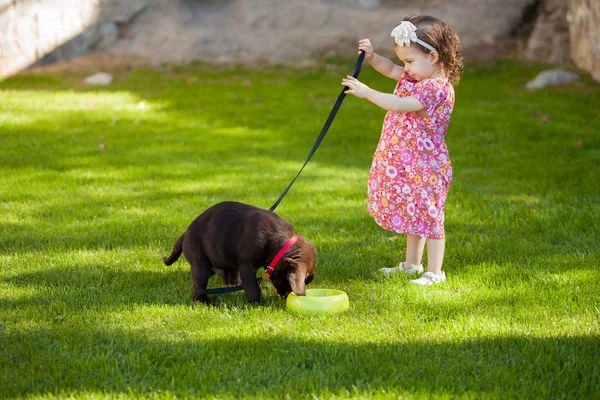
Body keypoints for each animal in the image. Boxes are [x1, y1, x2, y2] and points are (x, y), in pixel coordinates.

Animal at [162, 202, 316, 304]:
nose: (286, 296)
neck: (280, 246)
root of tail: (185, 234)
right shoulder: (247, 264)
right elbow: (252, 287)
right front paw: (256, 303)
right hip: (200, 263)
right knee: (199, 288)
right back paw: (206, 302)